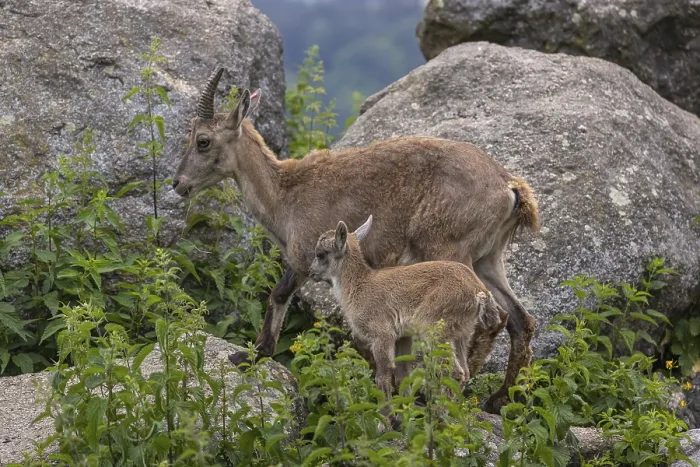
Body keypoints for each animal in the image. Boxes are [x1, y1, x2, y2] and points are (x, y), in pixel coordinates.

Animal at [308, 215, 508, 397]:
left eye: (321, 254)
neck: (358, 287)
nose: (311, 272)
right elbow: (403, 377)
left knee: (453, 371)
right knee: (464, 372)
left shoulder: (382, 335)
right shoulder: (402, 337)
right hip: (462, 333)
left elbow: (383, 379)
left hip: (435, 329)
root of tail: (478, 292)